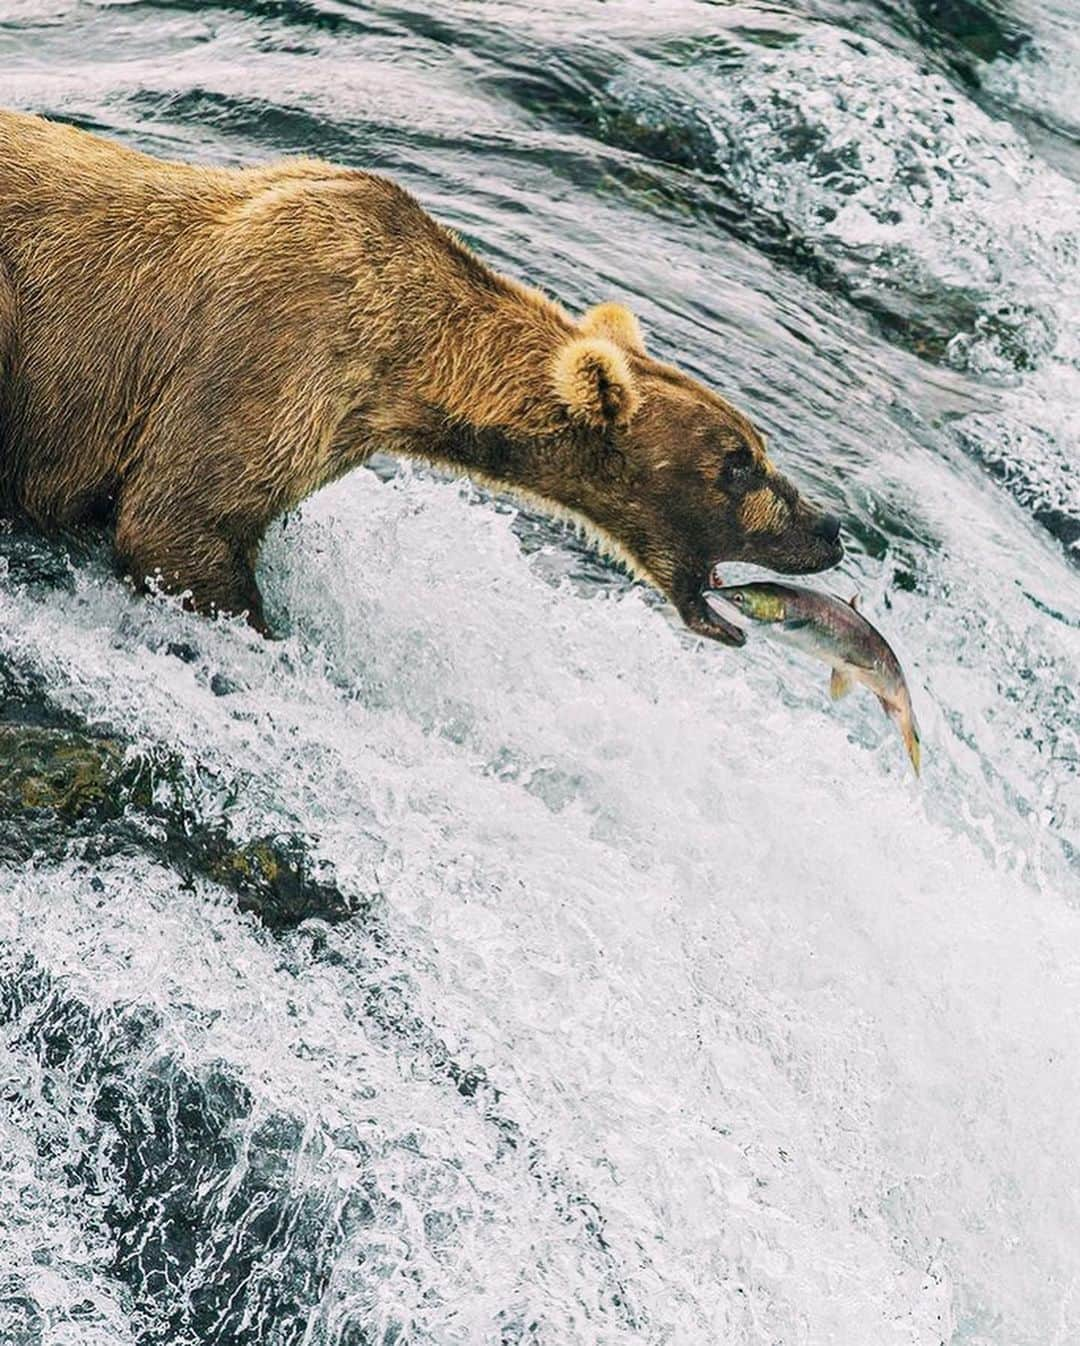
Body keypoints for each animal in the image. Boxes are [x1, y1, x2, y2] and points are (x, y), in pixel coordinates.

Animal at [0, 110, 840, 646]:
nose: (829, 529)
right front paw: (267, 633)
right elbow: (178, 521)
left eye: (759, 450)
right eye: (740, 465)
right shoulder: (268, 354)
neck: (401, 366)